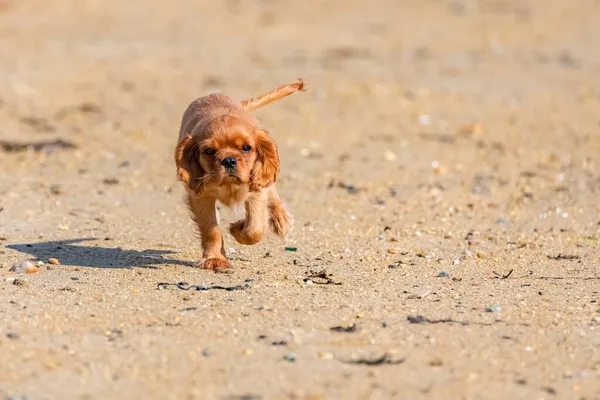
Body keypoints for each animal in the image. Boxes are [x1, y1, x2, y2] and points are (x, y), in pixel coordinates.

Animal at [173, 79, 304, 272]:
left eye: (246, 148)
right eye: (209, 151)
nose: (228, 160)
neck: (229, 185)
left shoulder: (255, 193)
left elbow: (255, 229)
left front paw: (236, 228)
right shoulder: (201, 196)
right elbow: (211, 229)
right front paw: (215, 259)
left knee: (270, 189)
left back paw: (280, 218)